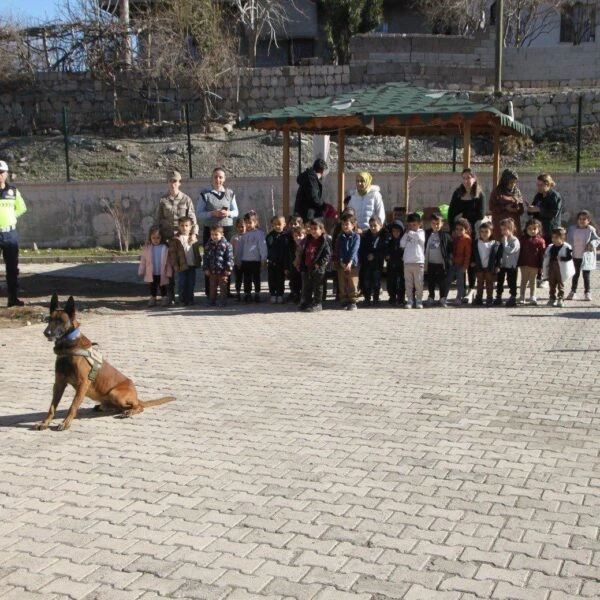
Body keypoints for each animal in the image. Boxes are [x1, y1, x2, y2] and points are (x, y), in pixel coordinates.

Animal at [39, 296, 176, 432]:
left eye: (60, 321)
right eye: (49, 319)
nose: (46, 333)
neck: (68, 346)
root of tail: (136, 396)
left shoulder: (82, 384)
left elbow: (72, 406)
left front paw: (65, 423)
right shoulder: (58, 384)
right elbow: (52, 407)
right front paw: (45, 422)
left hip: (115, 394)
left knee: (138, 406)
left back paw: (129, 411)